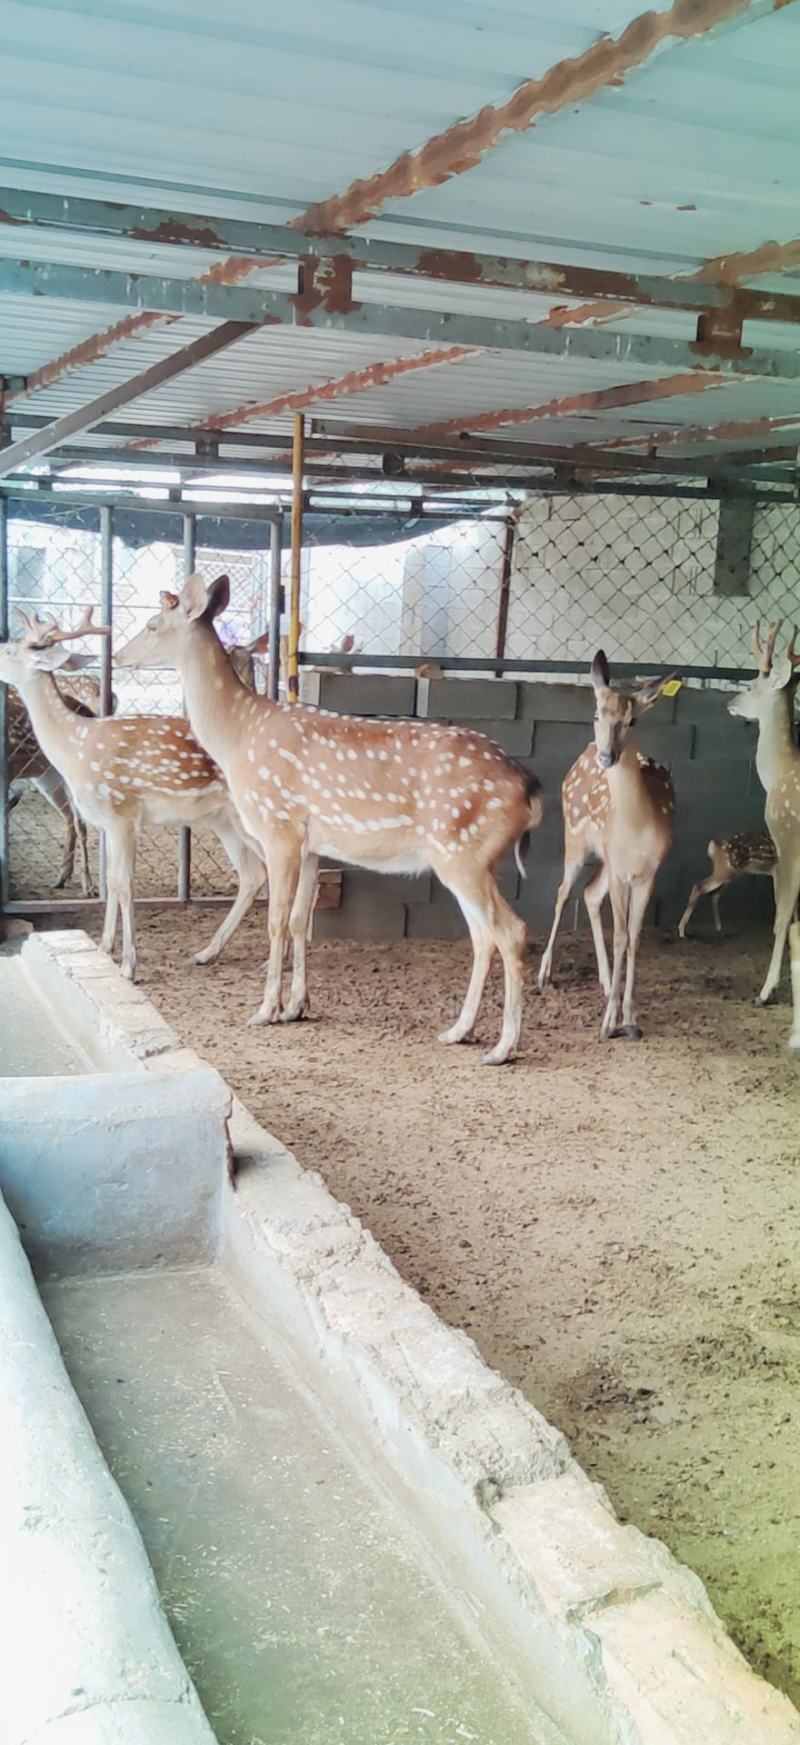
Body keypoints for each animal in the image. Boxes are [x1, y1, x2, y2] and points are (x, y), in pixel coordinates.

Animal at [0, 606, 267, 980]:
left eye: (10, 649)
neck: (74, 746)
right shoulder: (106, 822)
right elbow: (111, 882)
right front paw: (103, 948)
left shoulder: (121, 814)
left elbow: (125, 885)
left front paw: (128, 964)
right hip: (224, 820)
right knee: (253, 875)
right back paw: (205, 953)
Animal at [115, 573, 544, 1065]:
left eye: (152, 624)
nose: (116, 655)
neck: (238, 734)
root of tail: (528, 789)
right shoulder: (310, 845)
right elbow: (300, 920)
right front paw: (296, 1007)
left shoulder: (278, 826)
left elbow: (276, 920)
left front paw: (265, 1010)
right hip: (469, 858)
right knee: (482, 935)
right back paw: (459, 1031)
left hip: (463, 850)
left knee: (511, 930)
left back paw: (503, 1047)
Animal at [538, 651, 675, 1040]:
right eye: (597, 714)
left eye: (632, 720)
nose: (606, 756)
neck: (638, 827)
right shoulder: (620, 871)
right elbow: (622, 937)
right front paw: (609, 1022)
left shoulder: (648, 873)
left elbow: (635, 937)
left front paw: (630, 1018)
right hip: (574, 838)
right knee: (564, 891)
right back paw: (544, 973)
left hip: (604, 860)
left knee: (589, 893)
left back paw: (602, 980)